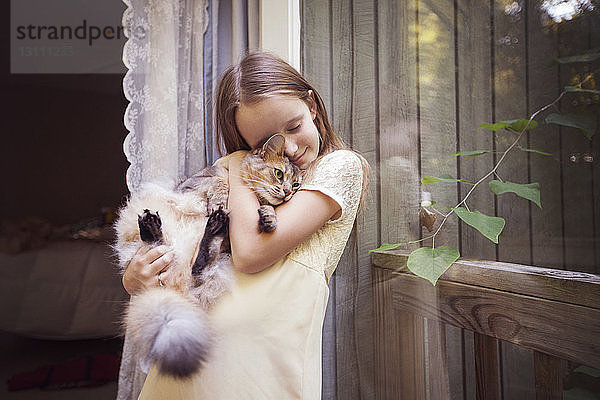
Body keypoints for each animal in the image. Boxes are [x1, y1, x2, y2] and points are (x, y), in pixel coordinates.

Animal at [113, 134, 302, 378]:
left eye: (296, 185)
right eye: (279, 174)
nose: (288, 193)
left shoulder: (231, 244)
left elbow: (267, 208)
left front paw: (269, 218)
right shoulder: (193, 183)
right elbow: (220, 182)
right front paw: (220, 200)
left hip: (218, 261)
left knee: (197, 266)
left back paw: (212, 228)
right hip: (150, 247)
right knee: (158, 245)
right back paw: (155, 225)